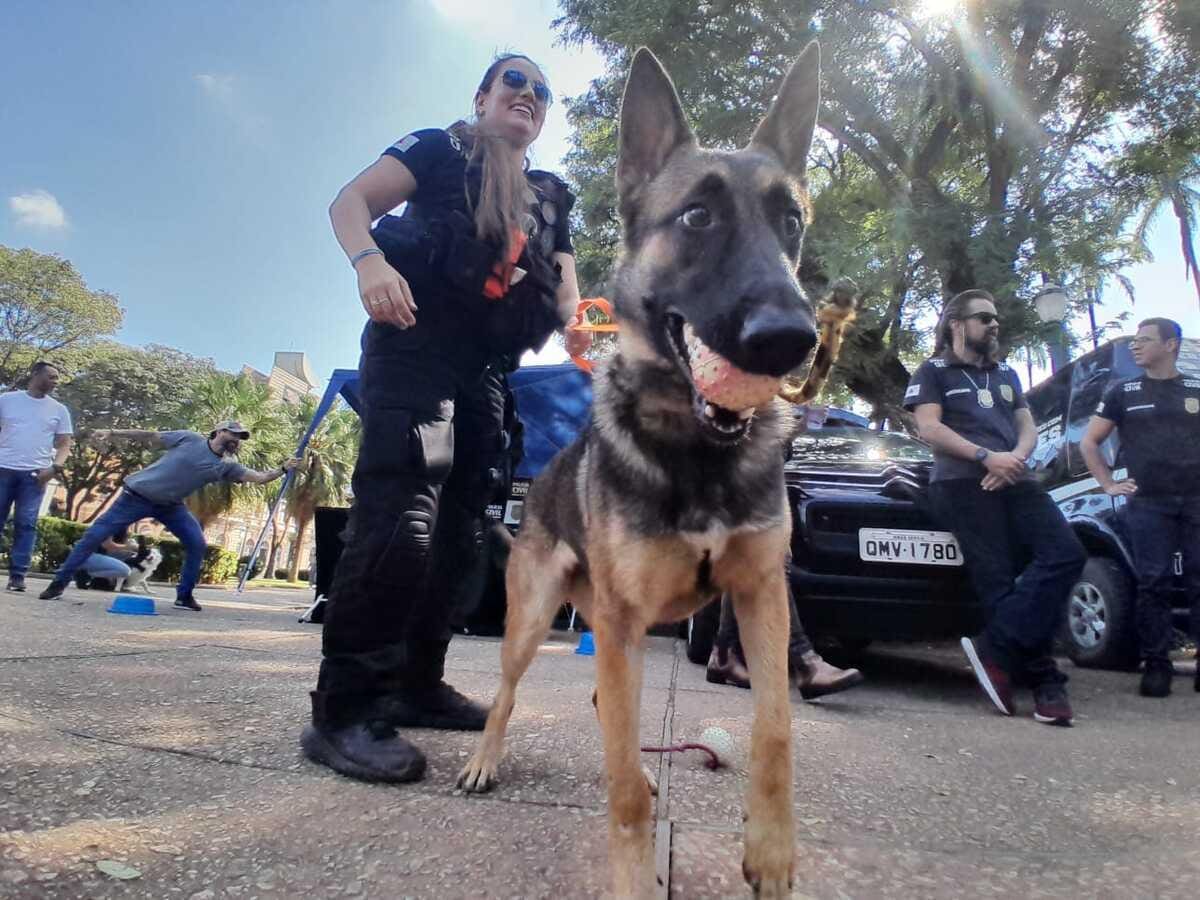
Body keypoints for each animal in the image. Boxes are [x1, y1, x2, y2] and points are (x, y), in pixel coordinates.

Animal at [458, 44, 825, 900]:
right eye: (698, 217)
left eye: (790, 221)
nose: (792, 340)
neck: (697, 448)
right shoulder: (626, 625)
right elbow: (621, 785)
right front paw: (631, 868)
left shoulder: (762, 597)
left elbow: (776, 733)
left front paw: (771, 851)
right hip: (533, 623)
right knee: (510, 694)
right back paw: (486, 758)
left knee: (608, 708)